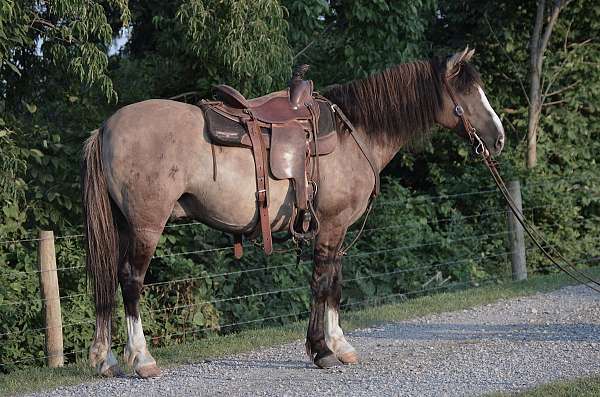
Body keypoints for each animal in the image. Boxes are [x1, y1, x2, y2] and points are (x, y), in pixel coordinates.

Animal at [82, 48, 504, 376]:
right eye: (467, 92)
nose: (498, 138)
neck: (355, 133)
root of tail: (105, 128)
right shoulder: (331, 225)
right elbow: (320, 282)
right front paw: (321, 350)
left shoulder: (337, 229)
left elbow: (334, 283)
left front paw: (340, 344)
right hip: (146, 226)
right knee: (131, 281)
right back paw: (141, 359)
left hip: (123, 227)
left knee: (109, 279)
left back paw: (105, 359)